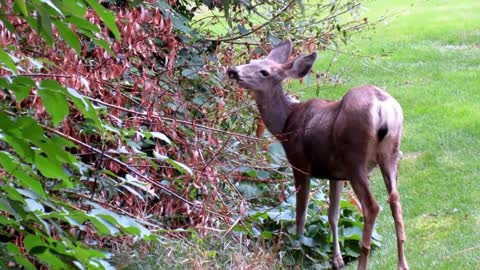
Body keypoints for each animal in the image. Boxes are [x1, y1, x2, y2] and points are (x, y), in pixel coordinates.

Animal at [227, 40, 406, 270]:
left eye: (264, 72)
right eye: (251, 61)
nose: (233, 71)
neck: (285, 124)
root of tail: (383, 106)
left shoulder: (300, 163)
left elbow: (301, 212)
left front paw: (297, 250)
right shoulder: (336, 174)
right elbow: (333, 214)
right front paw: (337, 260)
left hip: (355, 159)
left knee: (372, 207)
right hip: (390, 156)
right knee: (396, 202)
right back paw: (402, 264)